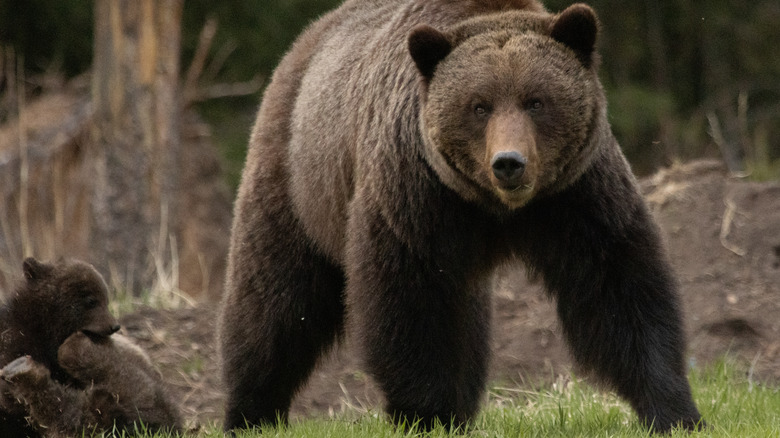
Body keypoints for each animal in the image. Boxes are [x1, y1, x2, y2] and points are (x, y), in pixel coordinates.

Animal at [218, 0, 700, 432]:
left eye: (536, 101)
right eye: (479, 105)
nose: (509, 163)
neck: (497, 208)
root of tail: (309, 37)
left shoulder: (576, 196)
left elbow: (619, 288)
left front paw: (674, 410)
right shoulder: (418, 197)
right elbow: (410, 303)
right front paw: (426, 413)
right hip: (300, 180)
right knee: (275, 300)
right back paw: (250, 412)